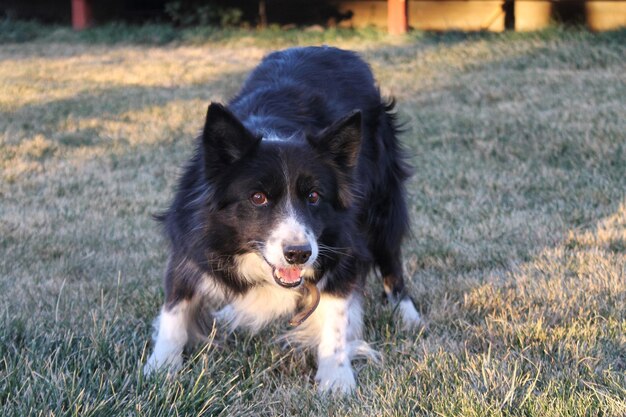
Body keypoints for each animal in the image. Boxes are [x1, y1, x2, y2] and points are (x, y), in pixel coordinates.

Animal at [144, 46, 420, 394]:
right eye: (257, 197)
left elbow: (337, 307)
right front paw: (161, 367)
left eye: (314, 196)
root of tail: (333, 48)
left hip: (383, 199)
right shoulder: (190, 234)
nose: (298, 254)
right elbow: (175, 305)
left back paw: (407, 313)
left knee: (390, 255)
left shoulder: (342, 236)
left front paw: (336, 376)